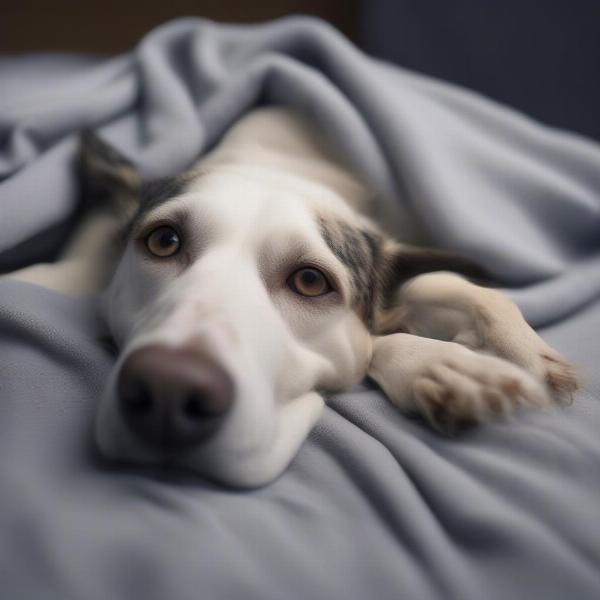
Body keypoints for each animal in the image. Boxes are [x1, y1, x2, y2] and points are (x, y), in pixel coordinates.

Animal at [7, 105, 580, 486]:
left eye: (310, 281)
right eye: (163, 241)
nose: (169, 390)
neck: (282, 163)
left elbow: (446, 285)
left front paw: (504, 356)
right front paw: (447, 366)